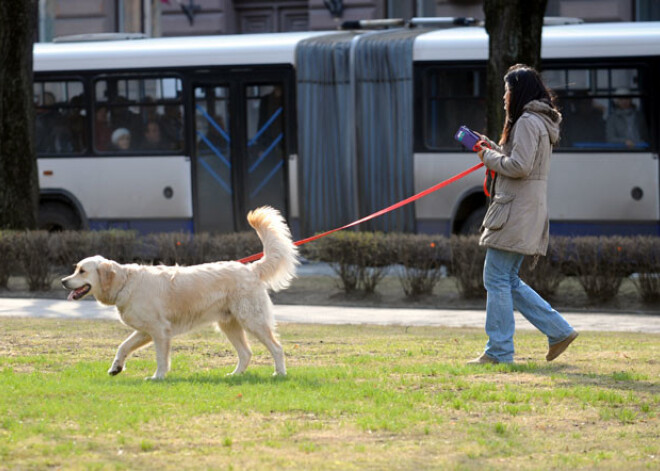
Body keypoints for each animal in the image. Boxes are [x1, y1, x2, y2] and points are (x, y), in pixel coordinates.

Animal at [62, 206, 300, 380]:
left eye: (82, 271)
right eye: (75, 268)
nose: (64, 281)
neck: (126, 282)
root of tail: (251, 268)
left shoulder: (160, 330)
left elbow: (161, 358)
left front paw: (157, 377)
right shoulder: (145, 331)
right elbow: (123, 346)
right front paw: (116, 368)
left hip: (252, 320)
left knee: (276, 348)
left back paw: (279, 373)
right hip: (229, 324)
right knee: (246, 353)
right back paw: (234, 375)